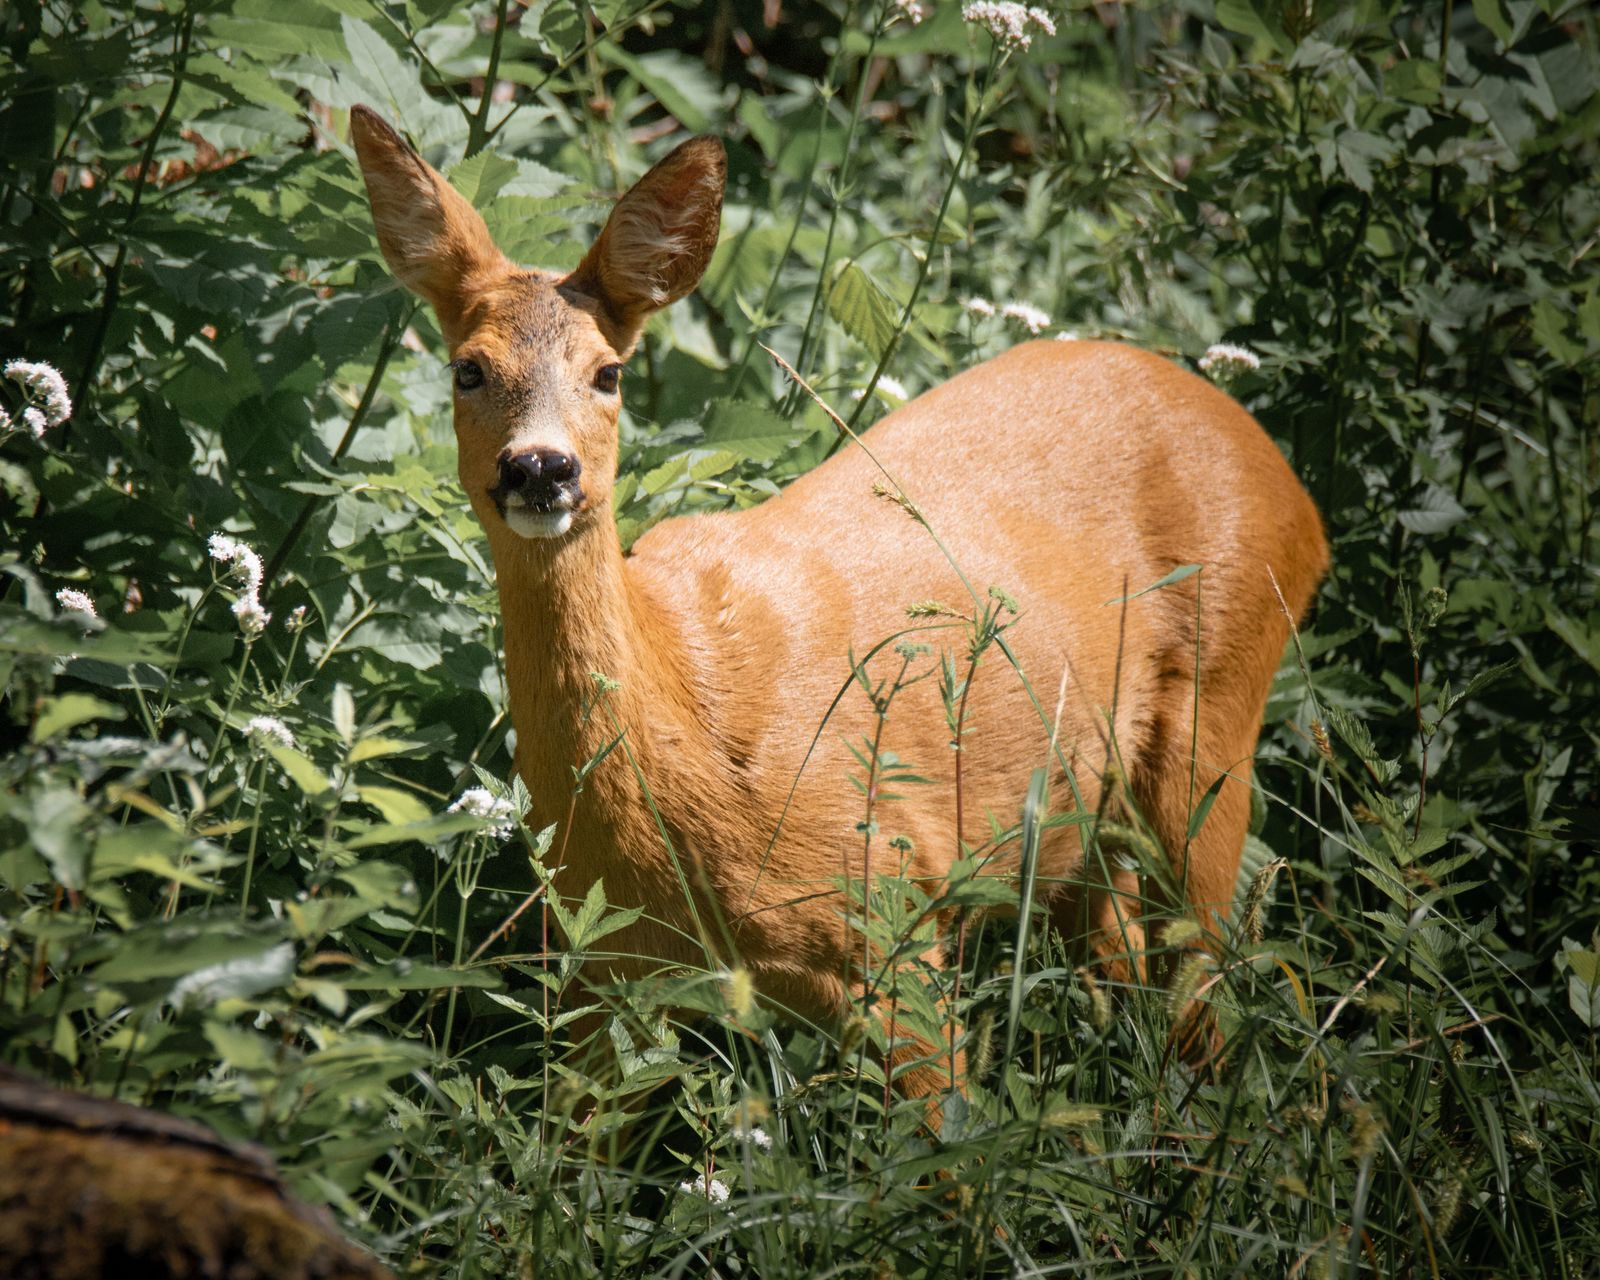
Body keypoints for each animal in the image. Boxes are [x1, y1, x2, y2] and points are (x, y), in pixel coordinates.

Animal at [350, 105, 1329, 1110]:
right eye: (467, 369)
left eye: (608, 373)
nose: (541, 467)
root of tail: (1284, 475)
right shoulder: (600, 972)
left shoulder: (890, 912)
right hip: (1076, 815)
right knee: (1129, 967)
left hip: (1218, 711)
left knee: (1214, 991)